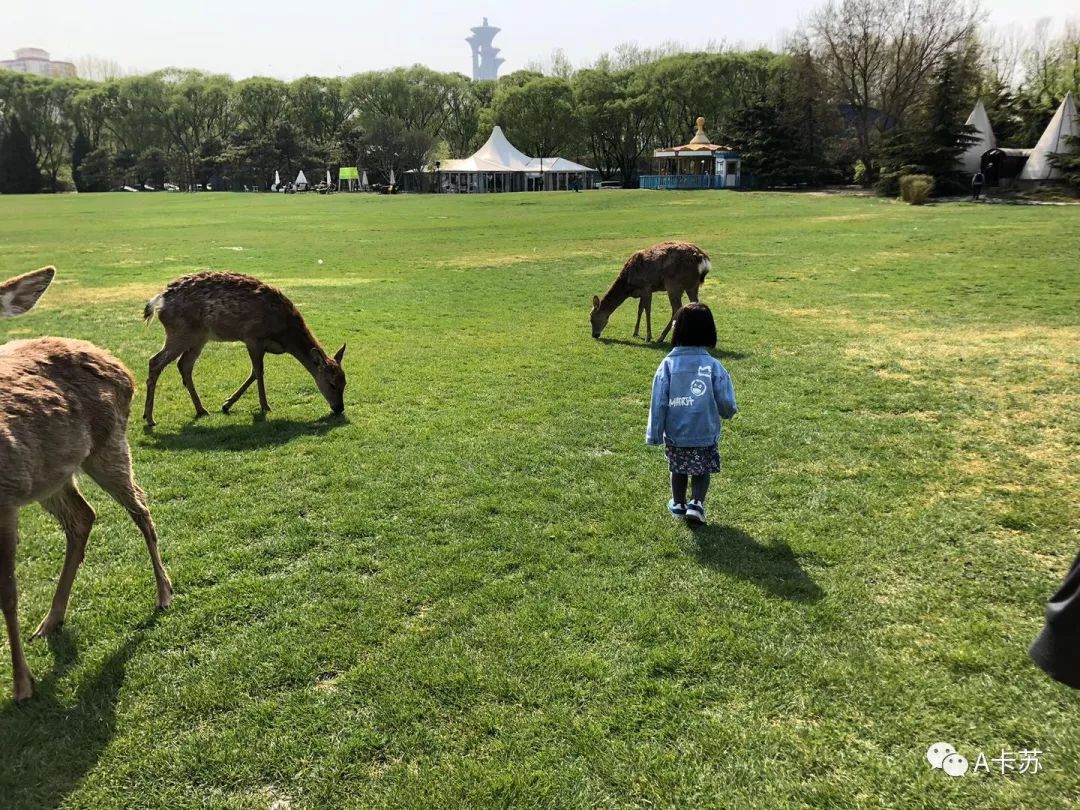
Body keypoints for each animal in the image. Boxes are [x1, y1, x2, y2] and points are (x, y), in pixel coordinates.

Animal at [0, 267, 170, 704]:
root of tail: (120, 364)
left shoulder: (5, 499)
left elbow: (7, 590)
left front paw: (22, 685)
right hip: (52, 475)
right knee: (83, 516)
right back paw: (51, 620)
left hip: (109, 445)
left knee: (140, 506)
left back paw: (164, 593)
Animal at [141, 271, 345, 427]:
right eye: (332, 384)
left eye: (345, 382)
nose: (339, 408)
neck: (285, 336)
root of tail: (159, 300)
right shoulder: (252, 337)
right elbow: (259, 371)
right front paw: (265, 406)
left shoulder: (259, 344)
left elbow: (254, 373)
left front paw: (226, 404)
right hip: (181, 332)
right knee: (155, 361)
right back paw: (150, 418)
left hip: (199, 338)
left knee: (184, 365)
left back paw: (201, 409)